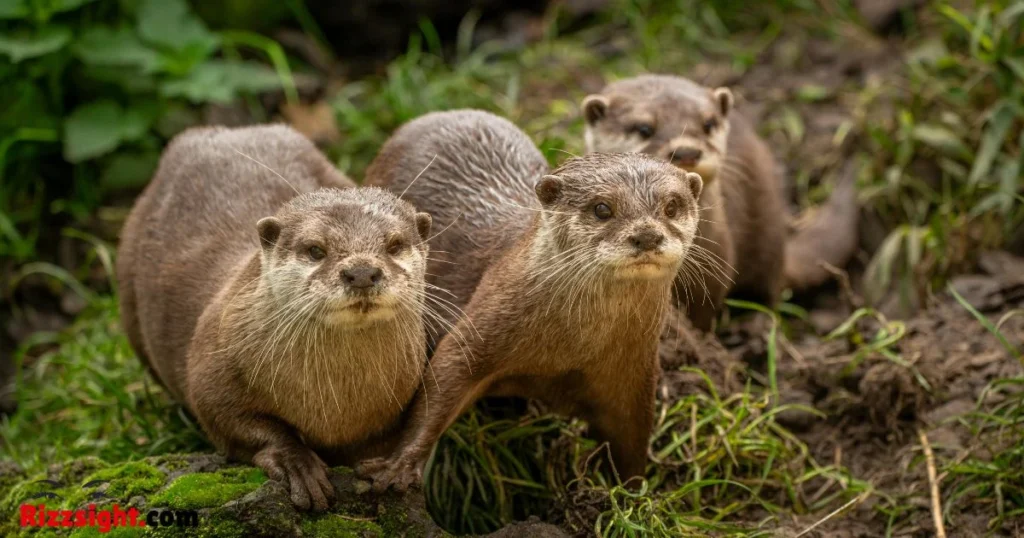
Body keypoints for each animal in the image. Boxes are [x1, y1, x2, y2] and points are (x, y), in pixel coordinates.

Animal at [116, 125, 433, 511]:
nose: (361, 271)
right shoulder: (211, 374)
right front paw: (297, 465)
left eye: (395, 245)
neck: (335, 406)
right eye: (315, 249)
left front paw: (394, 469)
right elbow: (238, 424)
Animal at [359, 110, 704, 490]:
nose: (647, 235)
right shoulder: (481, 327)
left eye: (671, 206)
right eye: (602, 208)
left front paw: (631, 492)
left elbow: (632, 438)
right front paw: (398, 465)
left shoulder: (635, 375)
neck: (568, 349)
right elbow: (441, 384)